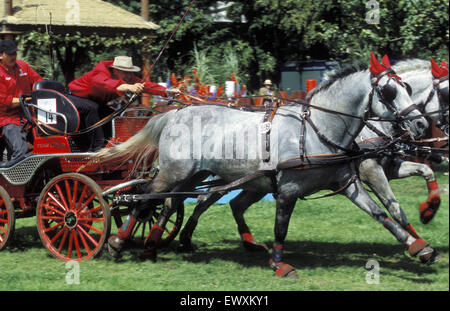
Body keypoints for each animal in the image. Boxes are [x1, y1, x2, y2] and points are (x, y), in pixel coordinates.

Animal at [97, 53, 428, 278]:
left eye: (409, 88)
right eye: (390, 92)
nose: (422, 123)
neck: (318, 130)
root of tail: (174, 113)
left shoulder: (348, 183)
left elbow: (381, 214)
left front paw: (418, 247)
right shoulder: (288, 188)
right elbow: (281, 227)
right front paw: (280, 264)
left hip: (196, 176)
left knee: (169, 204)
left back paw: (153, 245)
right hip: (173, 172)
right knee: (144, 200)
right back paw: (118, 241)